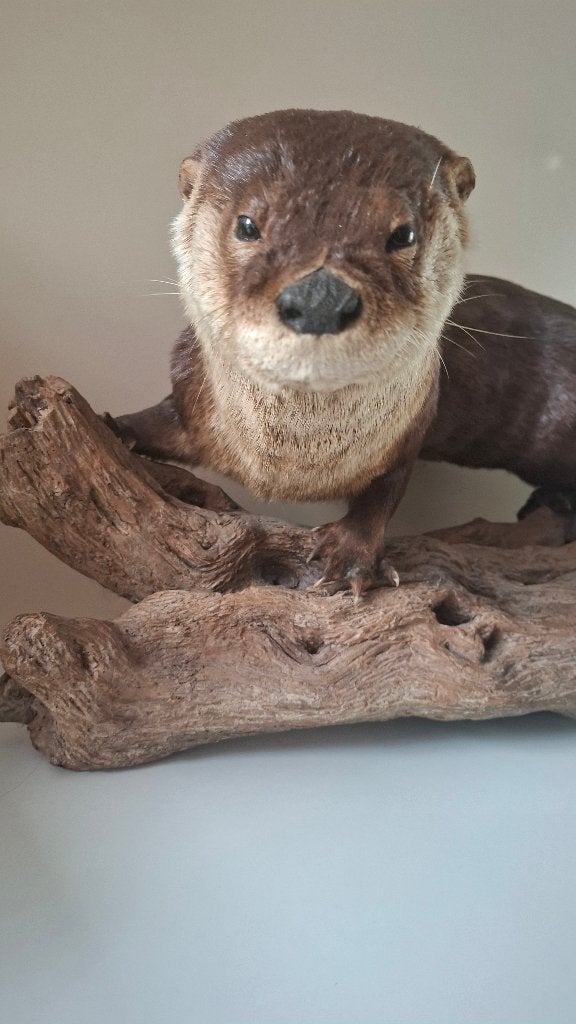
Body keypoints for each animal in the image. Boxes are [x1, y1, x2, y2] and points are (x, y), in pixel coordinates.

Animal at [112, 109, 576, 596]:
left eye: (403, 233)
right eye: (247, 225)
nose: (320, 298)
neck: (293, 466)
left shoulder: (409, 430)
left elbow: (384, 492)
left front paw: (351, 554)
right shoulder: (193, 401)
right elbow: (163, 421)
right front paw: (115, 427)